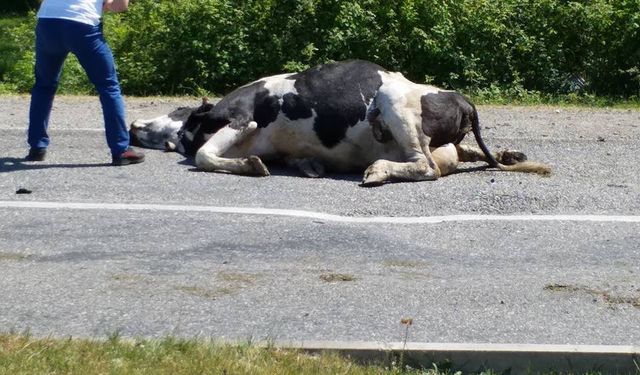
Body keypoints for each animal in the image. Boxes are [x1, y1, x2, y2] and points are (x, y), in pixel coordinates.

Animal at [130, 59, 552, 187]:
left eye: (180, 111)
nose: (133, 125)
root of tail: (464, 100)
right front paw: (309, 166)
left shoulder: (239, 116)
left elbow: (202, 154)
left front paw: (251, 165)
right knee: (462, 155)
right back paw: (511, 154)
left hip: (395, 104)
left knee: (426, 166)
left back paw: (379, 171)